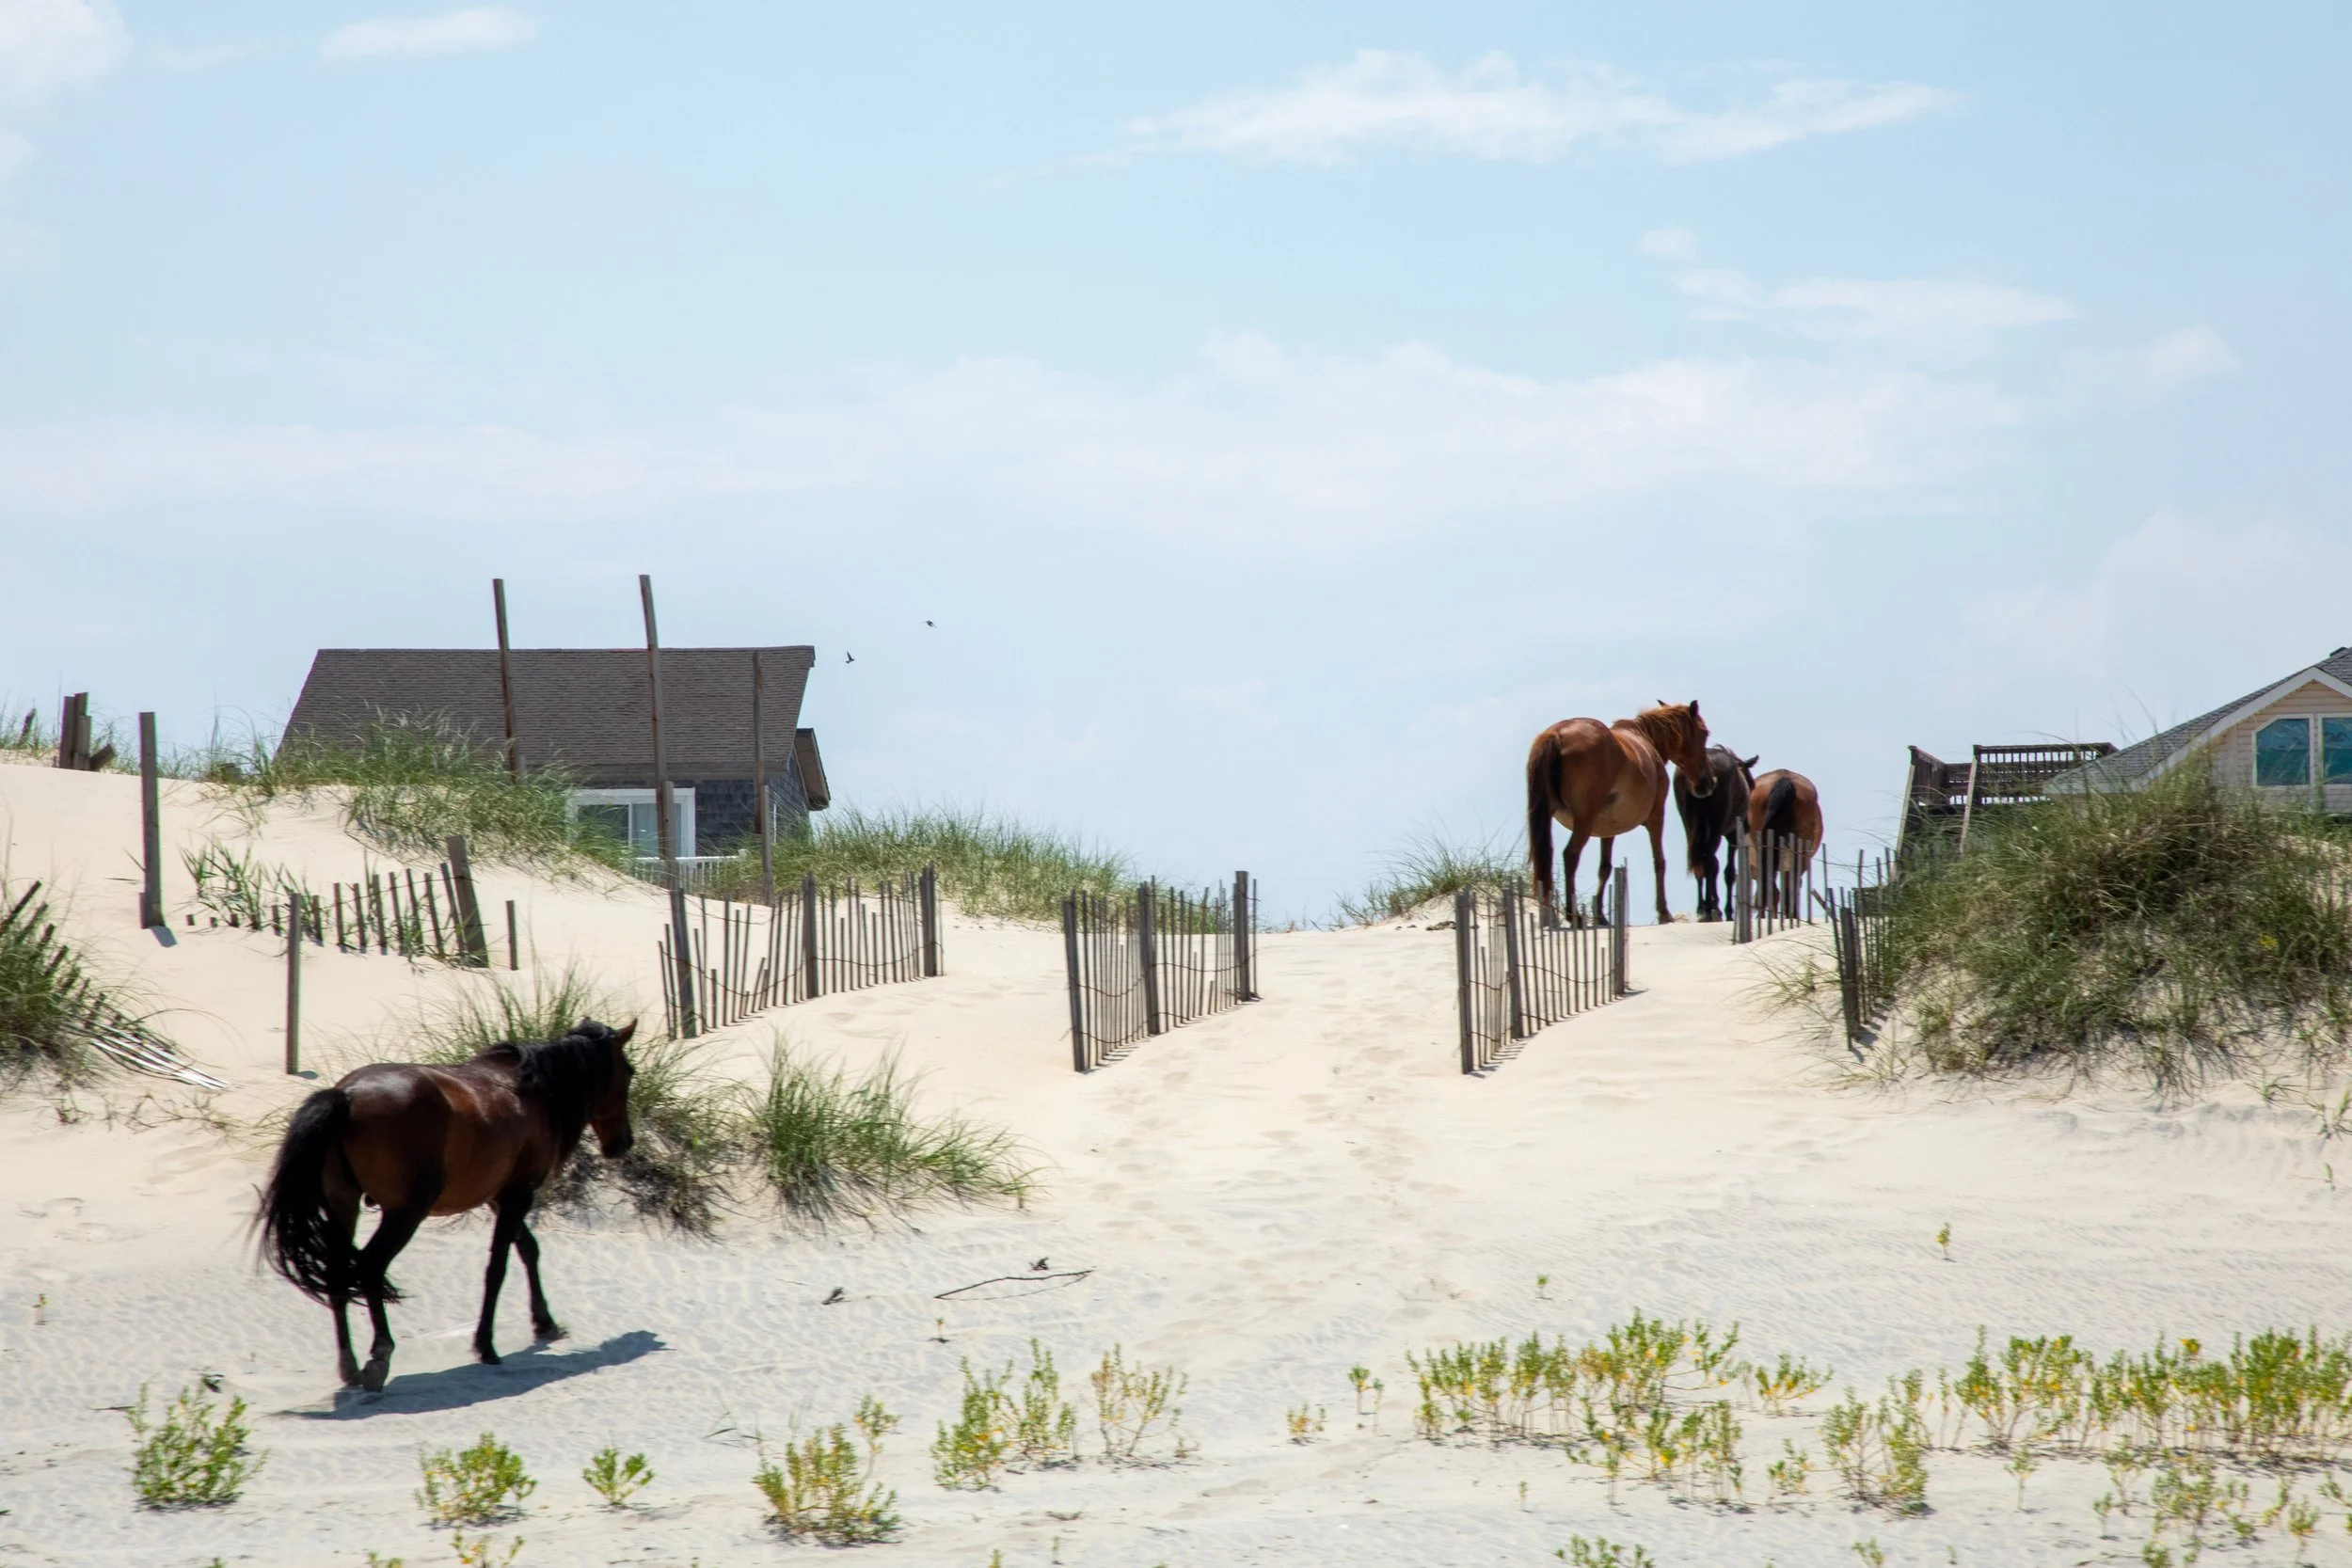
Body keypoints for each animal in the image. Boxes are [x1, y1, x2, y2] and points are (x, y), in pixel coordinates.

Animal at [258, 1018, 636, 1393]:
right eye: (630, 1072)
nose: (624, 1143)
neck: (535, 1092)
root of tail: (346, 1096)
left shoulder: (500, 1197)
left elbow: (529, 1249)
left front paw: (544, 1322)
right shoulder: (518, 1195)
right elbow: (498, 1268)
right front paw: (486, 1344)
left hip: (343, 1204)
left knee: (337, 1272)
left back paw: (349, 1366)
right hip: (405, 1212)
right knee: (370, 1266)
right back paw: (380, 1357)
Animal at [1526, 700, 1714, 926]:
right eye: (1704, 733)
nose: (1708, 784)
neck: (1646, 739)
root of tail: (1557, 735)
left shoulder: (1608, 830)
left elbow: (1605, 868)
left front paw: (1601, 916)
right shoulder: (1656, 817)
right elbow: (1659, 861)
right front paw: (1663, 912)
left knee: (1545, 858)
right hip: (1583, 823)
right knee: (1570, 855)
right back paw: (1573, 915)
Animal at [1674, 746, 1757, 922]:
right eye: (1752, 784)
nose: (1747, 824)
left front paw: (1711, 906)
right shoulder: (1733, 835)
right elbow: (1728, 871)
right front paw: (1726, 910)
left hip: (1690, 826)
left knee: (1700, 862)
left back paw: (1703, 908)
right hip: (1716, 827)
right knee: (1709, 861)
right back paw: (1710, 909)